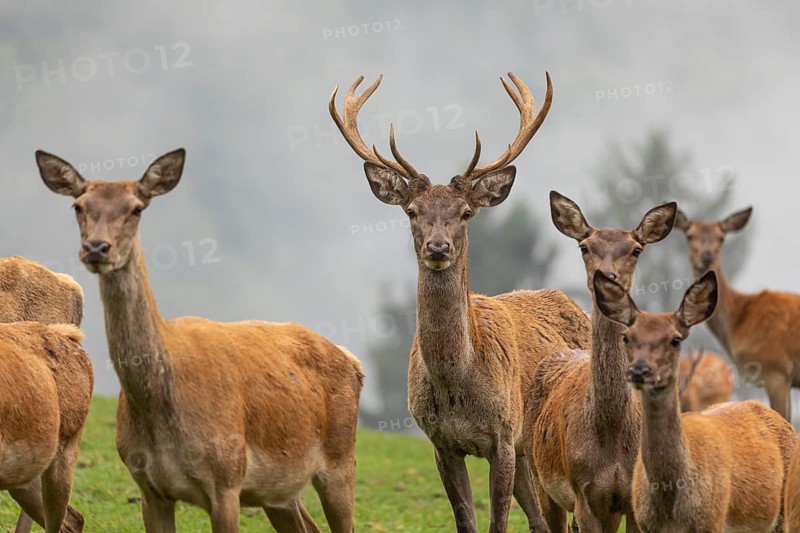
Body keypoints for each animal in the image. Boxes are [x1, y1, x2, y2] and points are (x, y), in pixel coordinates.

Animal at [35, 148, 365, 533]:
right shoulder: (149, 487)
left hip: (341, 459)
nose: (97, 248)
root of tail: (353, 361)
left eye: (136, 208)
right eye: (78, 205)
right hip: (280, 490)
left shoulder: (227, 480)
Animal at [330, 72, 591, 532]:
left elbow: (497, 521)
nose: (438, 246)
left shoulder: (504, 435)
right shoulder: (441, 442)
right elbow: (465, 519)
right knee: (541, 522)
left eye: (466, 212)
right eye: (411, 211)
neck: (457, 385)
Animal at [524, 191, 677, 532]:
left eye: (636, 249)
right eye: (584, 246)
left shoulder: (633, 498)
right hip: (539, 476)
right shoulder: (583, 493)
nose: (607, 277)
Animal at [594, 269, 796, 532]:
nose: (639, 370)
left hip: (783, 514)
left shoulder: (712, 522)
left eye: (675, 339)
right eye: (626, 337)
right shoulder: (645, 523)